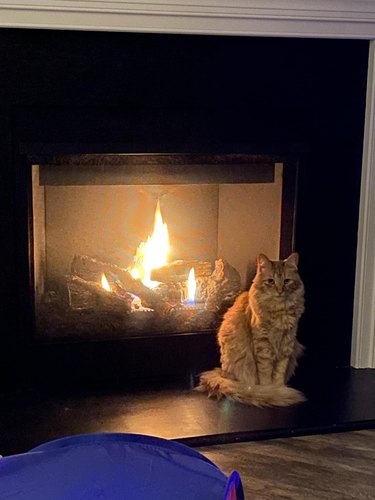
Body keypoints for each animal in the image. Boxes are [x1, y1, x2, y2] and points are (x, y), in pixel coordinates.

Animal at [197, 254, 306, 406]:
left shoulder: (287, 343)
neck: (279, 310)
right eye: (270, 281)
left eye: (287, 281)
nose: (279, 291)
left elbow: (279, 373)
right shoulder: (263, 345)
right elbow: (266, 374)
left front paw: (279, 388)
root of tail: (222, 374)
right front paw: (270, 391)